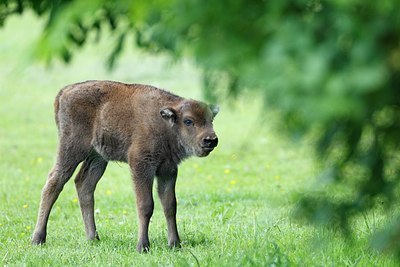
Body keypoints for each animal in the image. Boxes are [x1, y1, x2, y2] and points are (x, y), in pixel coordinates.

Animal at [32, 80, 219, 252]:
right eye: (188, 121)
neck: (165, 122)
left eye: (211, 120)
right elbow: (146, 205)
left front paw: (175, 244)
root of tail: (65, 91)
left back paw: (93, 238)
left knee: (84, 184)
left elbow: (170, 205)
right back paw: (38, 239)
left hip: (97, 157)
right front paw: (143, 246)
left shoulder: (168, 170)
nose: (211, 140)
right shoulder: (141, 166)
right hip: (71, 149)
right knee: (54, 183)